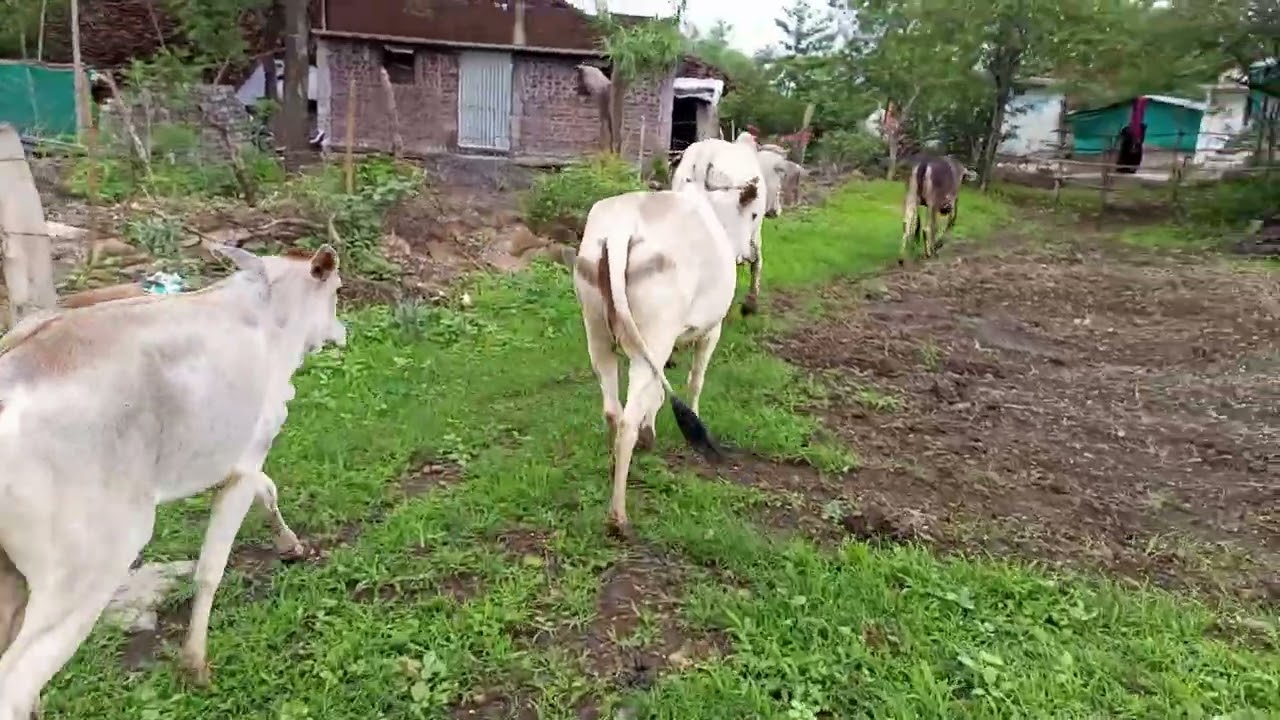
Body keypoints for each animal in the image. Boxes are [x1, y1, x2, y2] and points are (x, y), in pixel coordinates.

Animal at [0, 244, 345, 719]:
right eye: (337, 291)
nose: (341, 332)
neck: (273, 312)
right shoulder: (246, 458)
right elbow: (210, 569)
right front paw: (195, 665)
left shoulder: (237, 461)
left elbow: (269, 489)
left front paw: (290, 544)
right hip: (87, 569)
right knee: (15, 686)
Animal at [574, 152, 765, 537]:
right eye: (754, 214)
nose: (752, 252)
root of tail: (621, 226)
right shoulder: (710, 331)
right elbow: (694, 382)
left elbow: (658, 391)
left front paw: (650, 431)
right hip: (653, 335)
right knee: (628, 418)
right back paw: (618, 517)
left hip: (598, 333)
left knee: (613, 410)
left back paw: (615, 466)